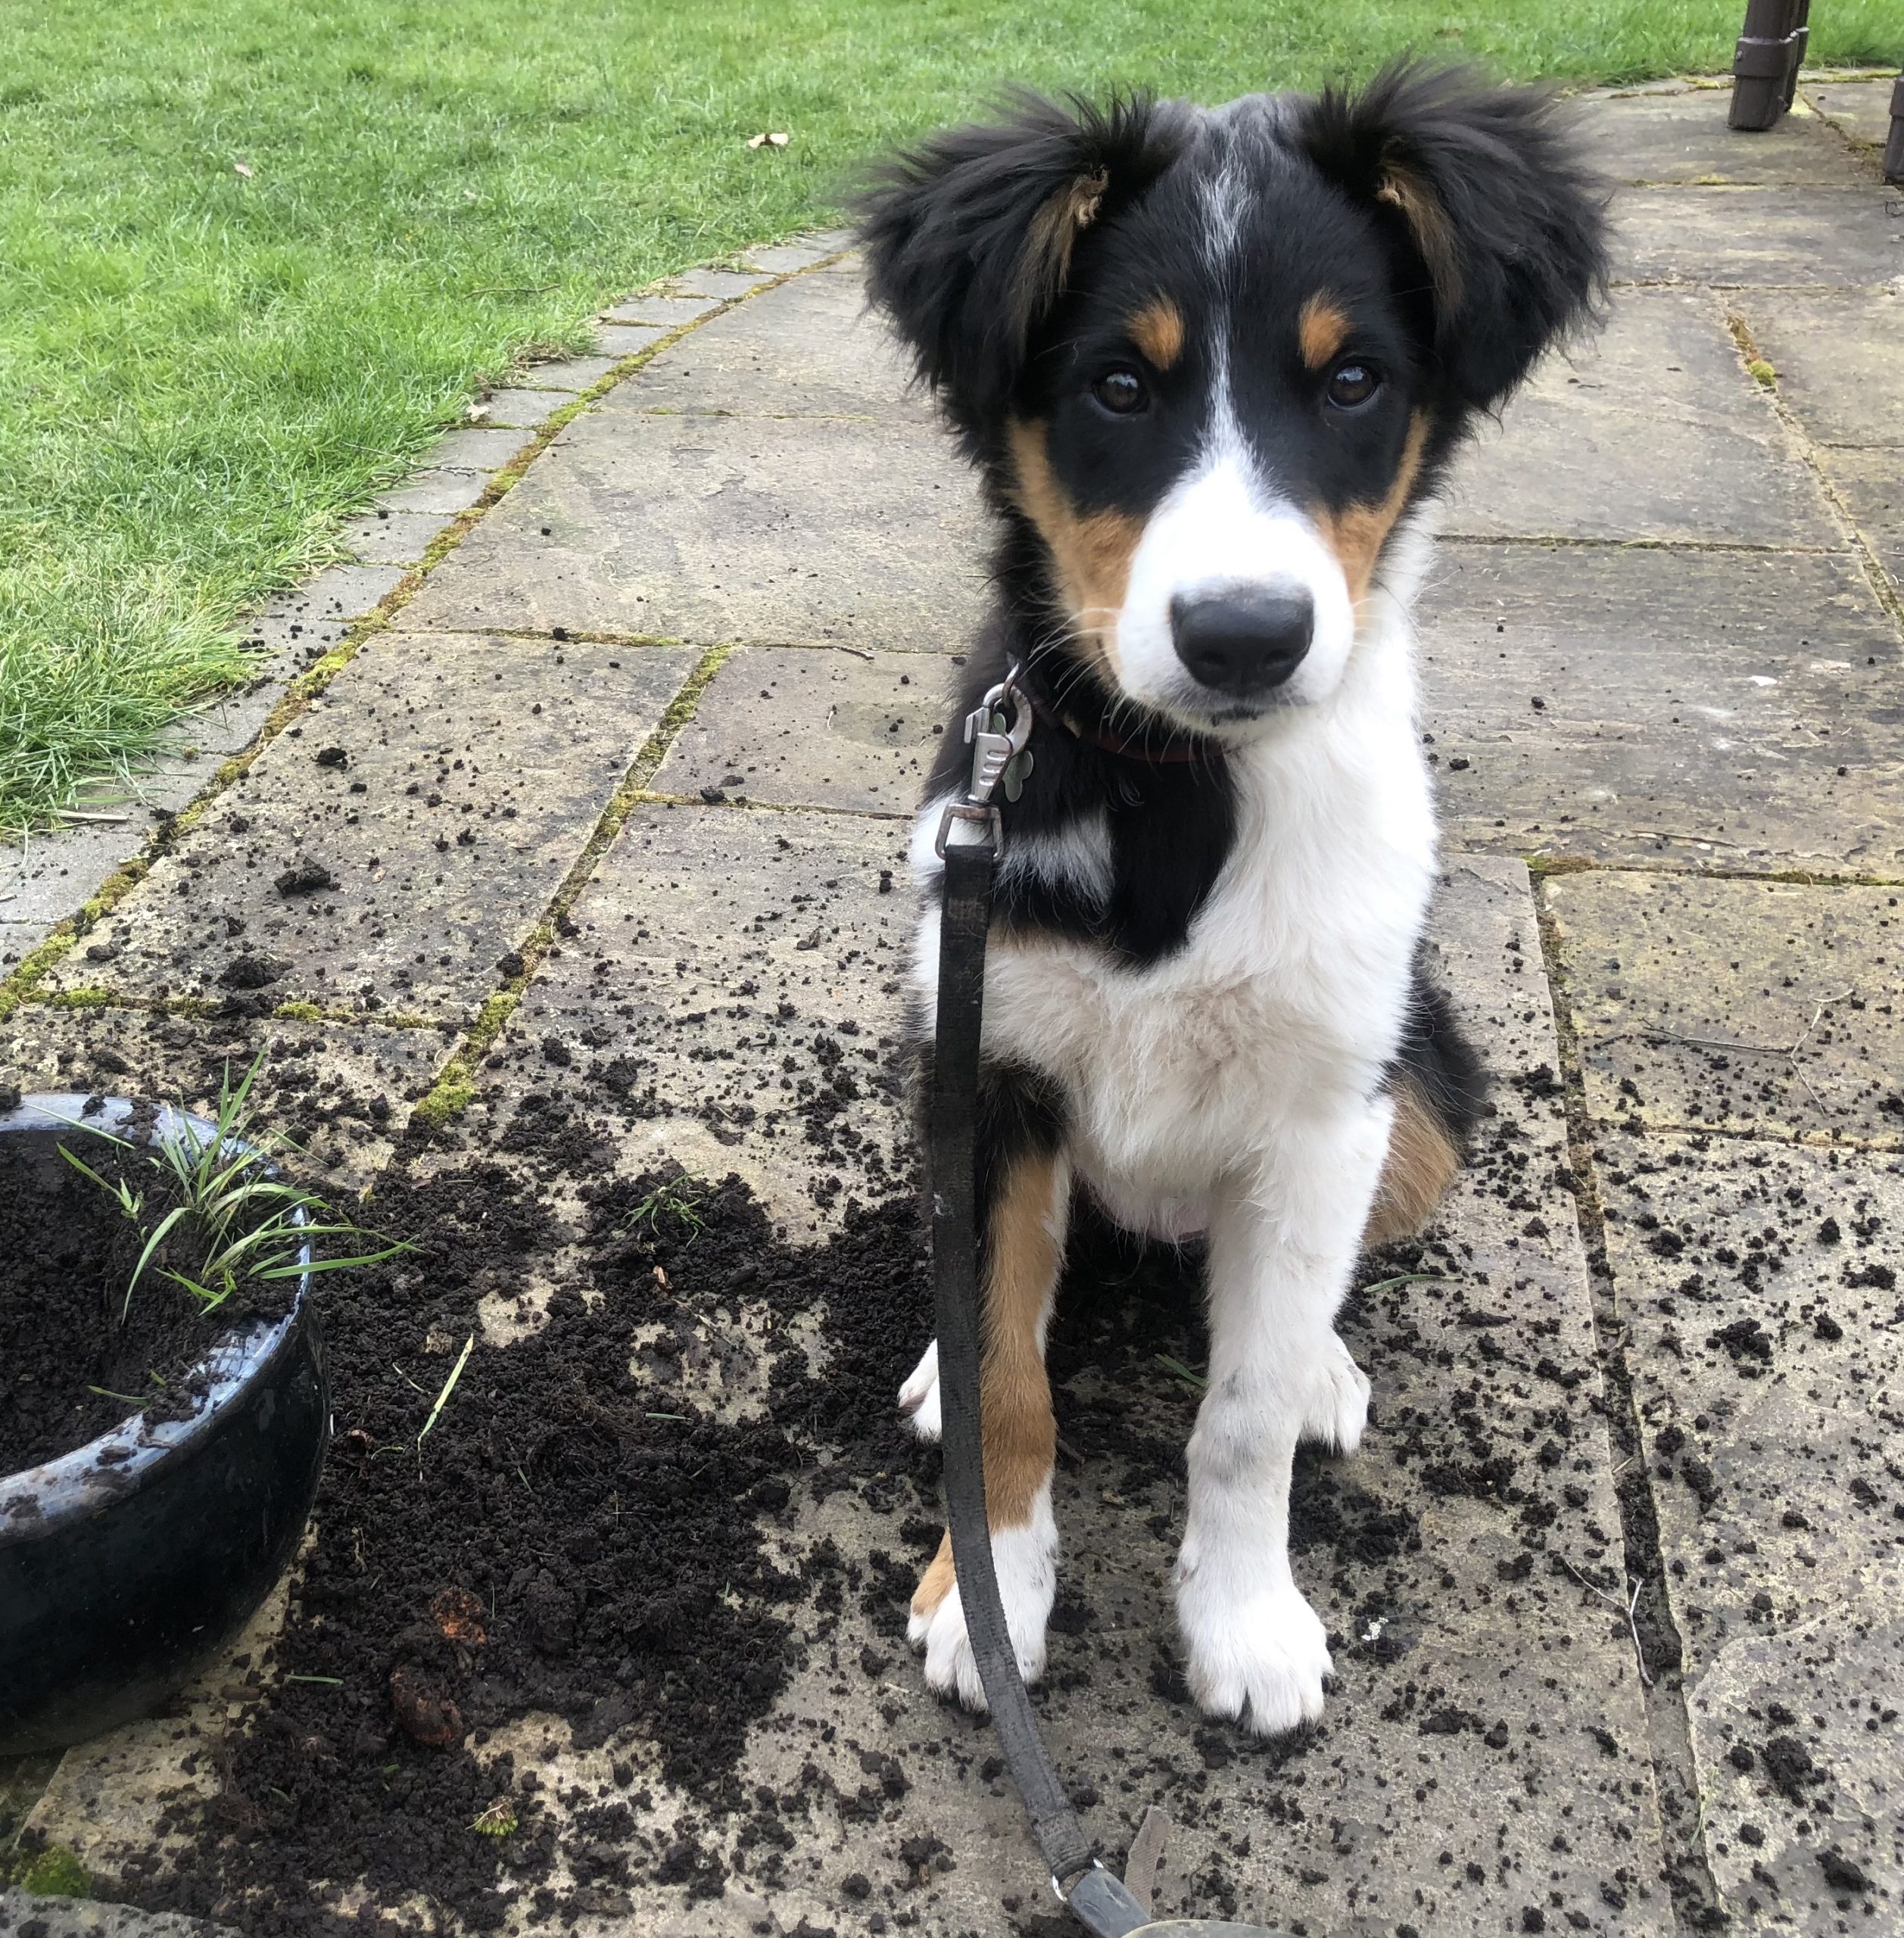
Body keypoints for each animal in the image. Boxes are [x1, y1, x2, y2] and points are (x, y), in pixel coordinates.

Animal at [865, 71, 1613, 1744]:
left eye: (1352, 383)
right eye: (1116, 389)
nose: (1245, 638)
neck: (1176, 788)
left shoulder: (1325, 1104)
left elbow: (1242, 1412)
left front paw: (1248, 1620)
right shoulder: (992, 1059)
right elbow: (1010, 1365)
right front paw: (989, 1594)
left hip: (1427, 1089)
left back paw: (1326, 1361)